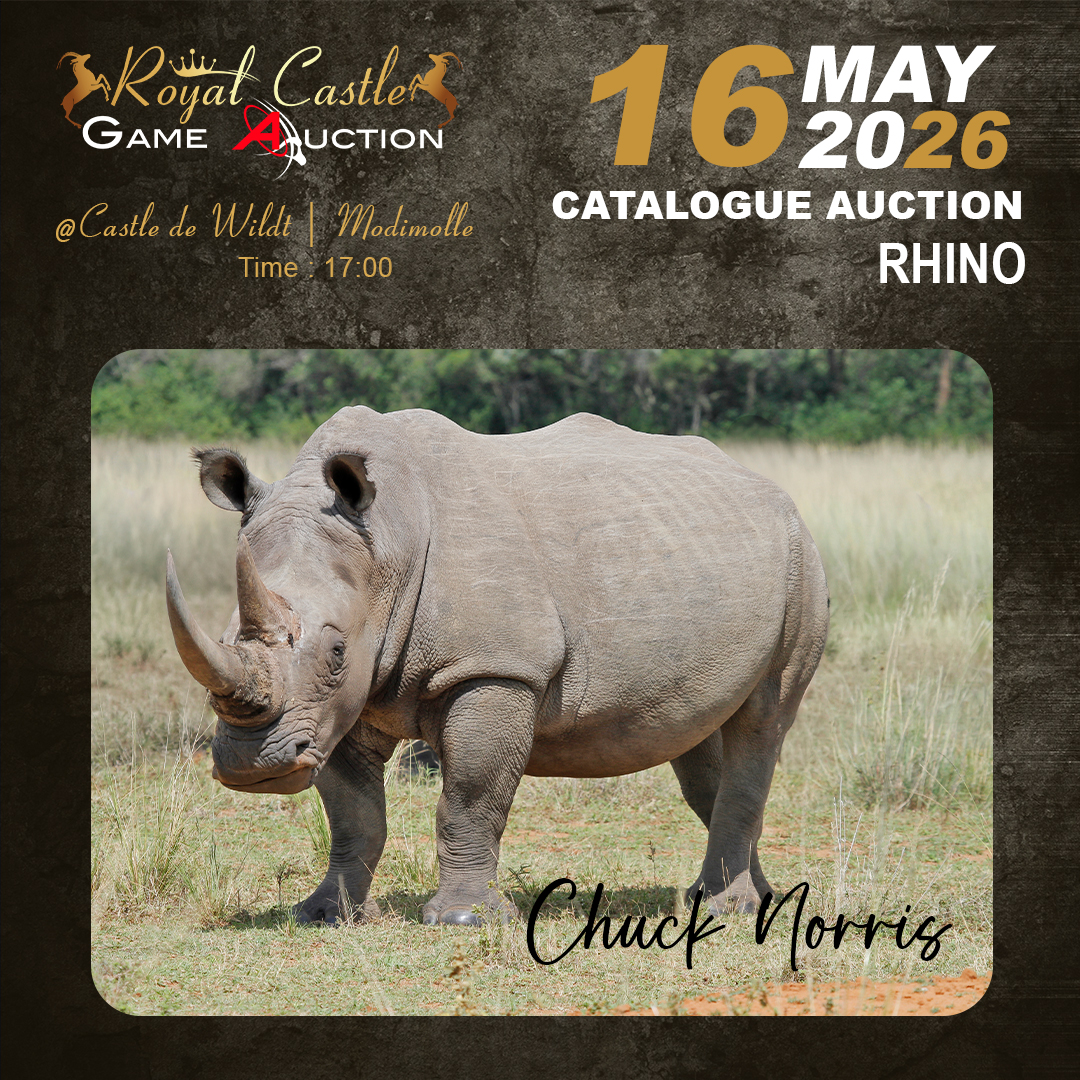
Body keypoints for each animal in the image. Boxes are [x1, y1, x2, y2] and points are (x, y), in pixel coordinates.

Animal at [166, 407, 829, 925]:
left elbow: (470, 793)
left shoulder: (493, 667)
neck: (384, 543)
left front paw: (464, 918)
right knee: (700, 742)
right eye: (222, 635)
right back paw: (742, 901)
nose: (254, 766)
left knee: (762, 721)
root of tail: (775, 492)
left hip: (802, 562)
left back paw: (729, 909)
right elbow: (354, 812)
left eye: (334, 653)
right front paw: (326, 914)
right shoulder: (346, 701)